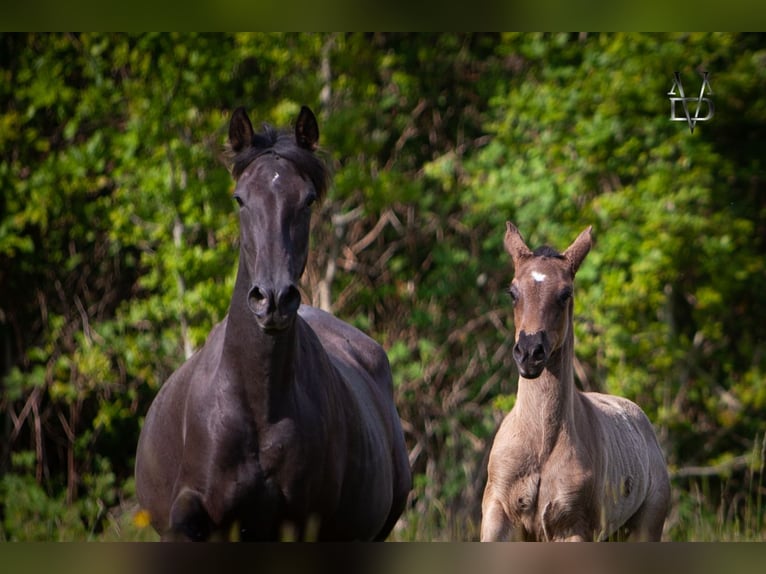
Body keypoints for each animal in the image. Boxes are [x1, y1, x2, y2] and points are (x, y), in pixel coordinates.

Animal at [486, 223, 672, 544]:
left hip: (645, 526)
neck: (540, 443)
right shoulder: (498, 513)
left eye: (565, 293)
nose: (530, 353)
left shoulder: (572, 527)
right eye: (512, 292)